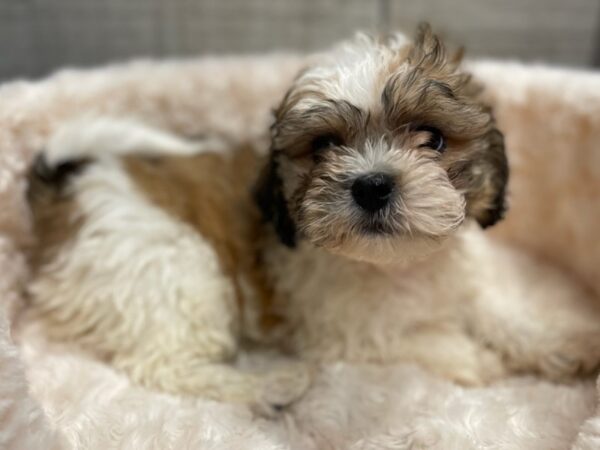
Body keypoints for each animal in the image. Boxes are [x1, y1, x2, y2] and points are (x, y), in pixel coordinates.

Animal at [23, 25, 600, 412]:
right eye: (323, 146)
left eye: (433, 138)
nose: (372, 184)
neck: (400, 267)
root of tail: (68, 188)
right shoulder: (340, 334)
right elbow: (416, 340)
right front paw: (475, 359)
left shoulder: (462, 286)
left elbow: (496, 313)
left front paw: (562, 344)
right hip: (173, 268)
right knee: (164, 364)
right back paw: (272, 385)